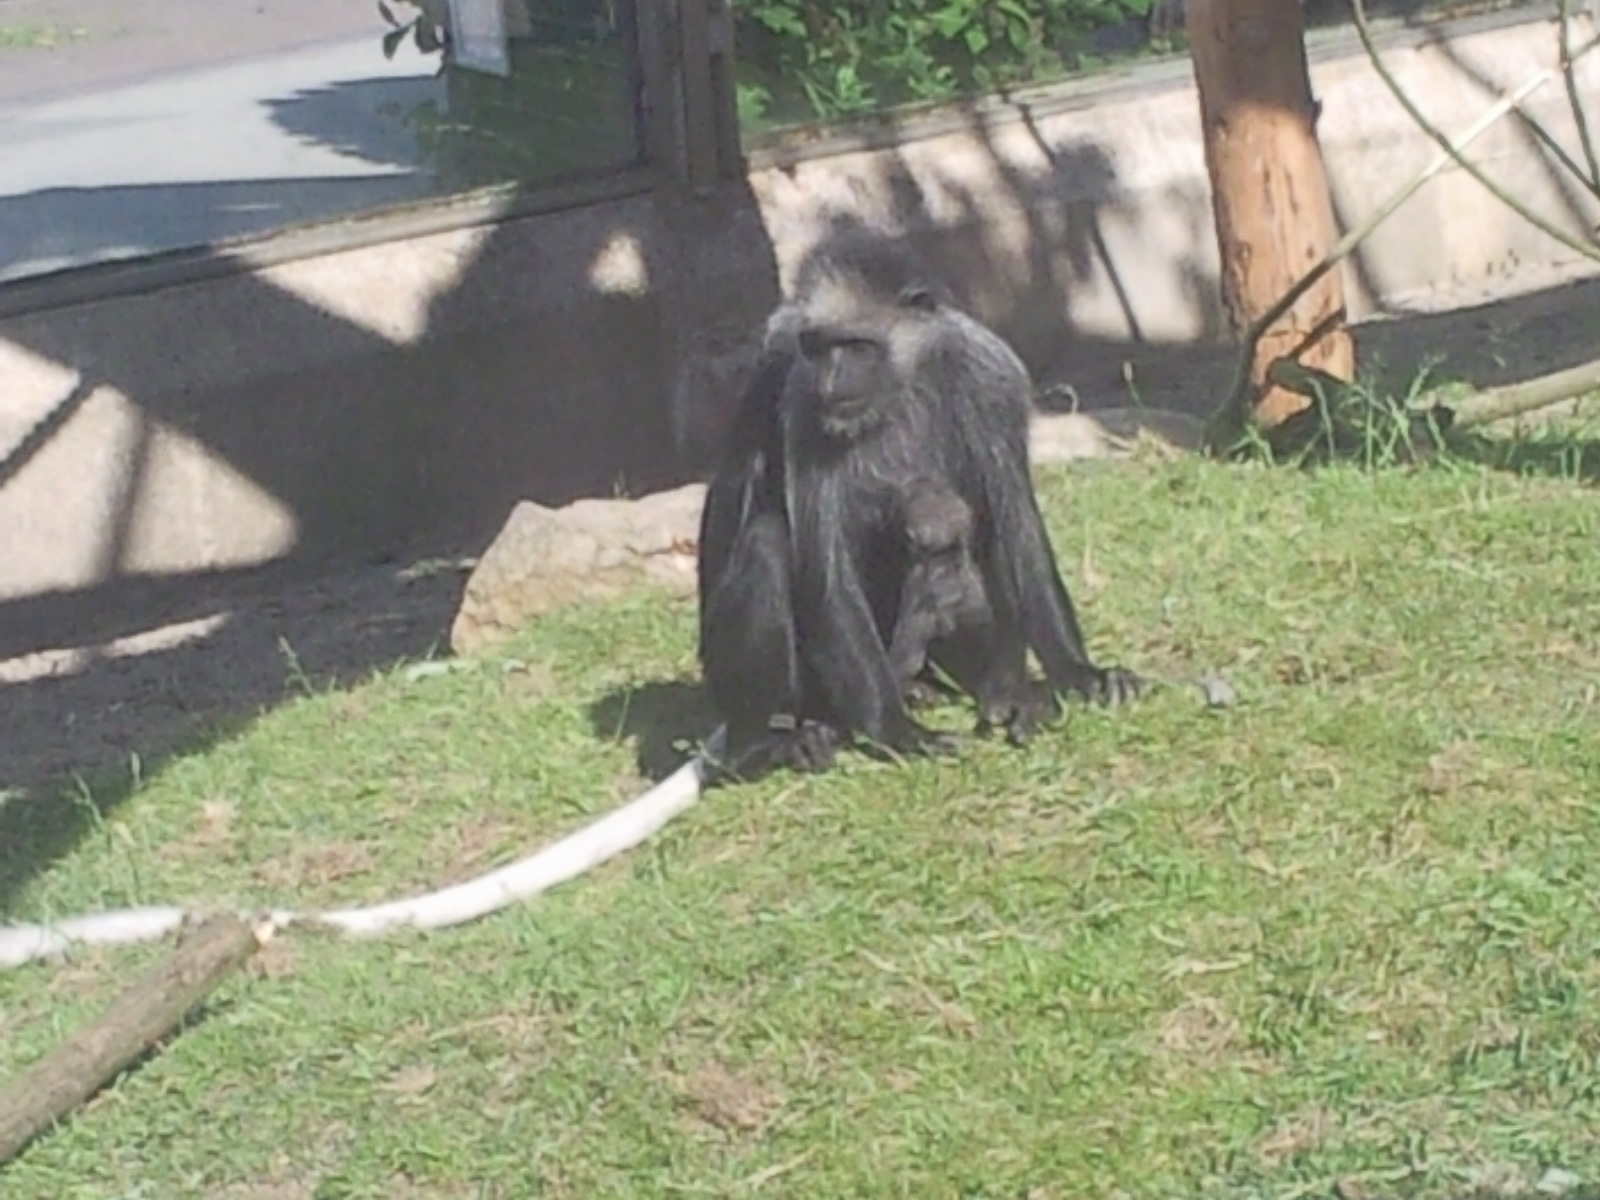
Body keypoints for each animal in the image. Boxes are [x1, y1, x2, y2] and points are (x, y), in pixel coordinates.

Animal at [696, 232, 1142, 782]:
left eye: (856, 346)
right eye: (819, 348)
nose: (831, 381)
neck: (898, 387)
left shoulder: (989, 376)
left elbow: (1016, 526)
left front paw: (1078, 674)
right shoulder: (804, 404)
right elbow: (827, 576)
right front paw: (898, 734)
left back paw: (1006, 695)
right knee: (768, 544)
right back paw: (766, 744)